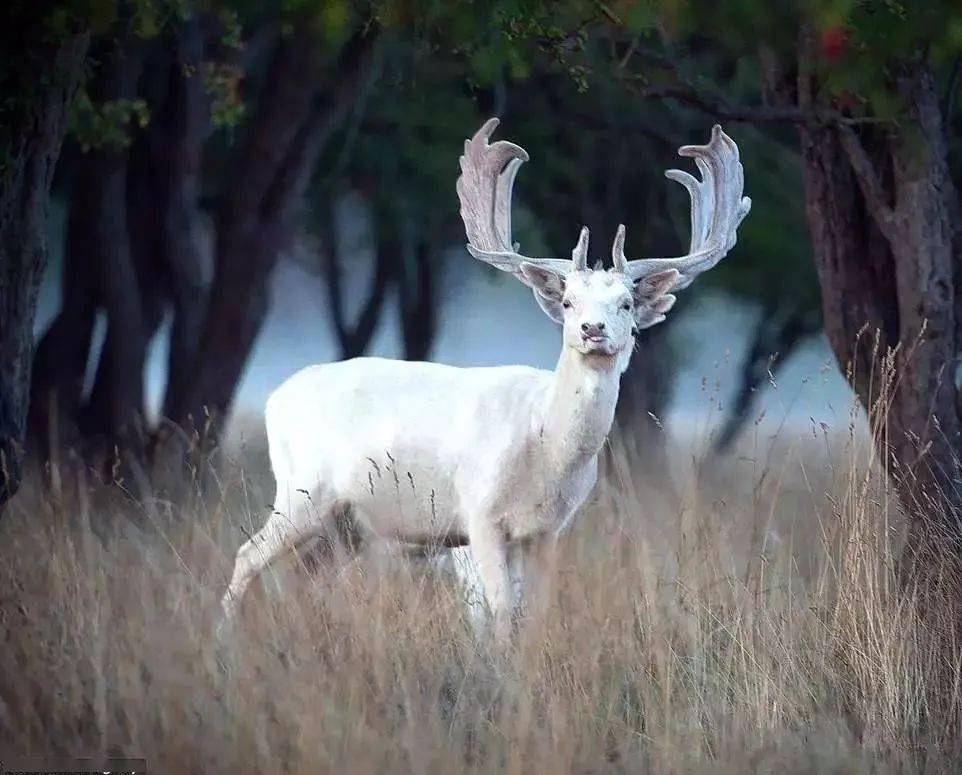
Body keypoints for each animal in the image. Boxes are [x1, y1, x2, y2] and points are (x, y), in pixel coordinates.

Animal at [219, 116, 752, 636]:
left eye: (624, 304)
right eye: (568, 302)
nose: (592, 329)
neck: (546, 447)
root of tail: (275, 398)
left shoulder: (548, 529)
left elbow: (534, 615)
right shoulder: (478, 513)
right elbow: (498, 612)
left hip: (343, 523)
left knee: (299, 573)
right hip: (302, 491)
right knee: (246, 556)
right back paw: (225, 638)